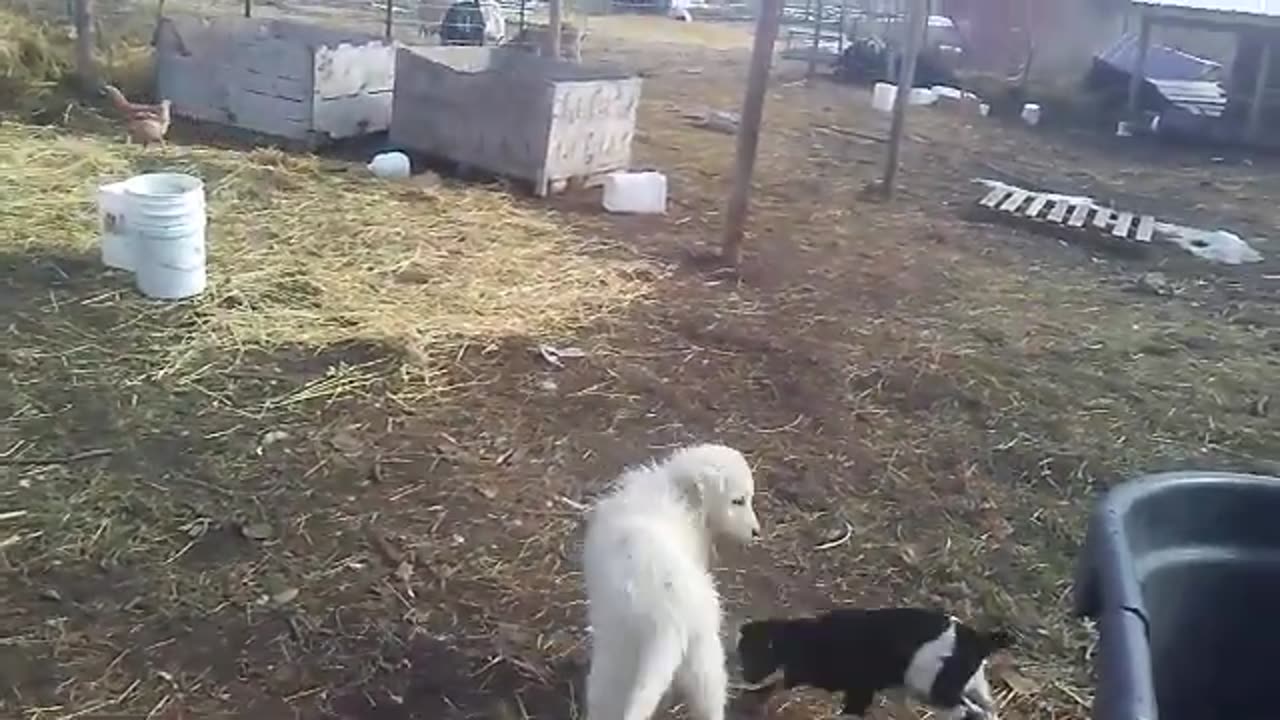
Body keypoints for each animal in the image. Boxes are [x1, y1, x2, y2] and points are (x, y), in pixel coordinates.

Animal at [583, 440, 757, 717]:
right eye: (738, 501)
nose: (756, 532)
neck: (677, 490)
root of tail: (667, 620)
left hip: (619, 651)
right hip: (703, 654)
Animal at [737, 604, 1013, 717]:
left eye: (752, 655)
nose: (745, 677)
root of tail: (978, 641)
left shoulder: (860, 687)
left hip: (938, 691)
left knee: (970, 712)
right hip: (971, 685)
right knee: (988, 709)